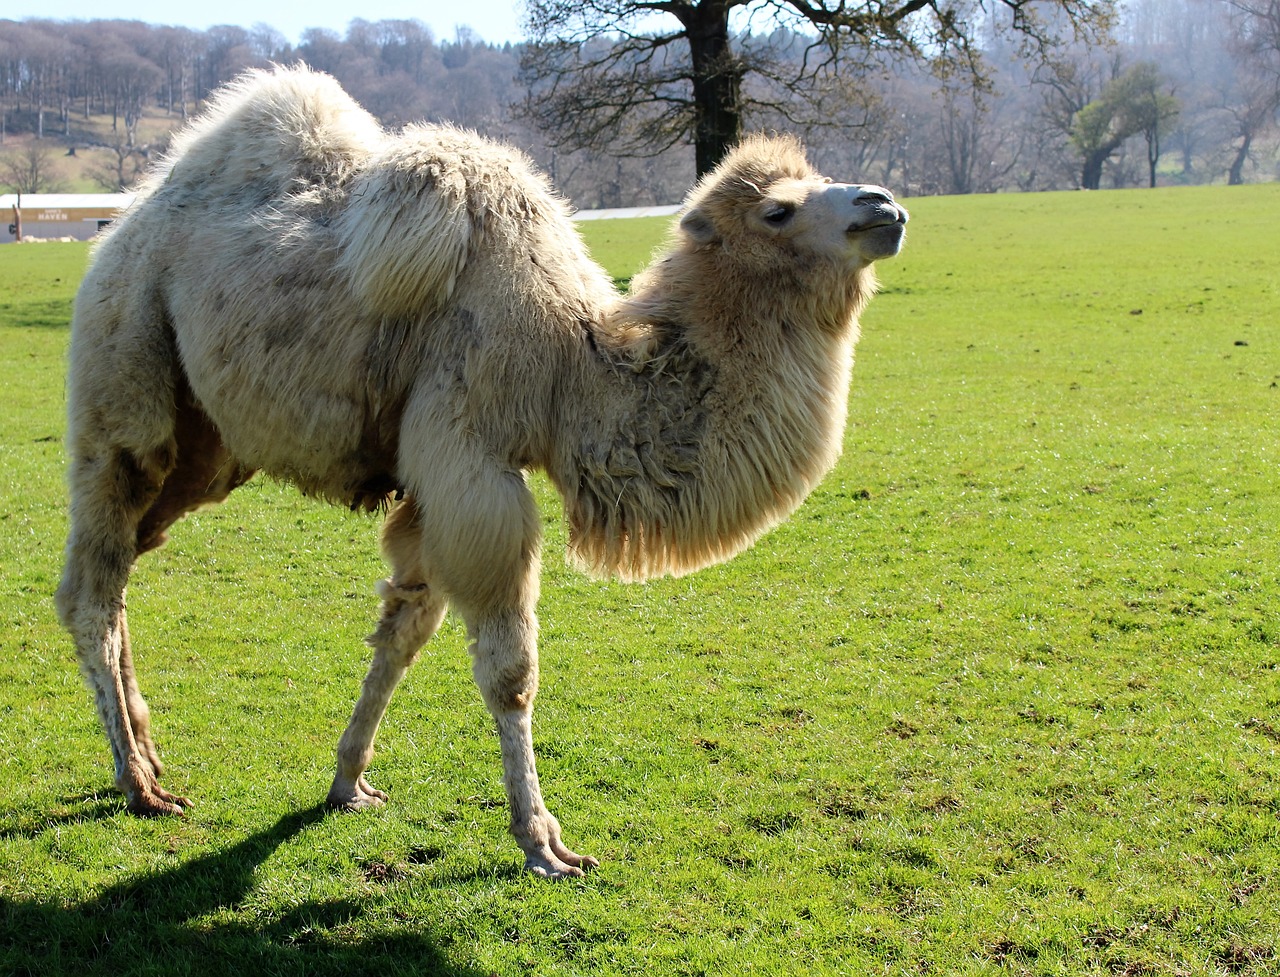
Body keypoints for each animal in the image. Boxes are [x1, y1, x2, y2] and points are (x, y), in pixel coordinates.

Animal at [52, 68, 911, 880]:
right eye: (778, 211)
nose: (886, 205)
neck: (570, 363)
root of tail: (121, 230)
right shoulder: (472, 463)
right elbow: (509, 671)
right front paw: (544, 842)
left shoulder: (434, 489)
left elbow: (404, 629)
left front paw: (348, 781)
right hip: (124, 379)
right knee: (91, 586)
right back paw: (138, 782)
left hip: (206, 449)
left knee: (126, 567)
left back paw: (148, 751)